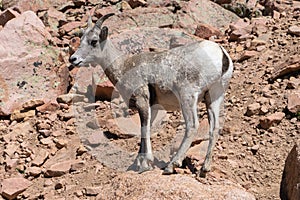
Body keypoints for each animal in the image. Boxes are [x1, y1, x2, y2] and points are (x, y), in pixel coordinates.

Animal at [69, 13, 233, 177]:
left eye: (94, 41)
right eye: (81, 39)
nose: (73, 59)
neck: (124, 66)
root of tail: (221, 54)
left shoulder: (142, 100)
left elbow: (144, 129)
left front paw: (145, 164)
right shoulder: (152, 107)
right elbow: (145, 130)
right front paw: (138, 163)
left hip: (188, 96)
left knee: (192, 125)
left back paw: (171, 166)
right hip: (213, 98)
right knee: (215, 128)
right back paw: (204, 169)